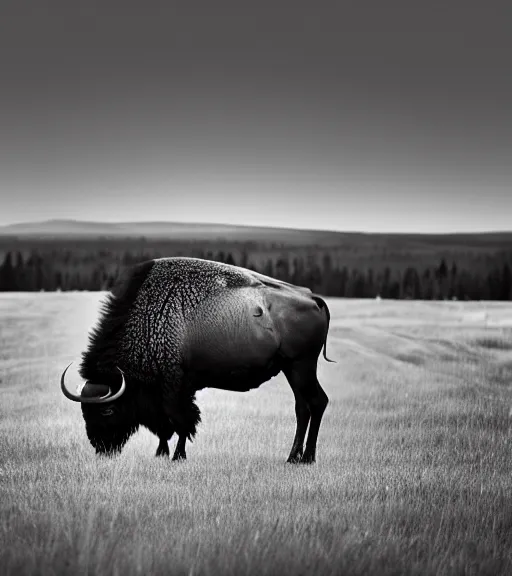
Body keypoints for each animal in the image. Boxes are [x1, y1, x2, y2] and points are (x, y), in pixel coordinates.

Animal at [61, 256, 332, 464]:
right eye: (84, 410)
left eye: (107, 409)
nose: (100, 446)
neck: (151, 319)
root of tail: (313, 299)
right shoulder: (167, 392)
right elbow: (167, 428)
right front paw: (161, 454)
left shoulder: (174, 389)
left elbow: (181, 422)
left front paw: (177, 456)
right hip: (292, 369)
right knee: (302, 407)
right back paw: (294, 457)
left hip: (302, 366)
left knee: (316, 402)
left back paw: (306, 459)